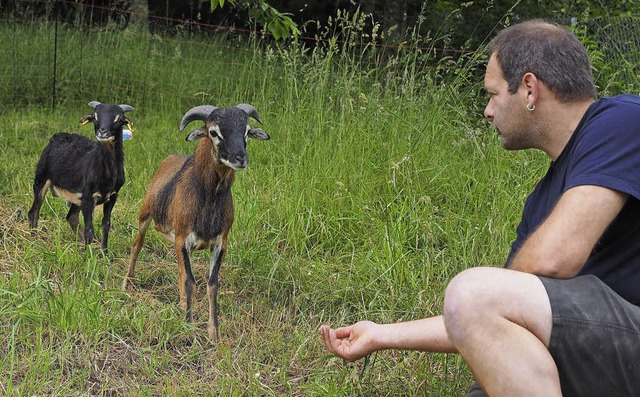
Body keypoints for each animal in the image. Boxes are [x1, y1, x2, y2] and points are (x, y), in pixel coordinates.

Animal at [27, 102, 135, 249]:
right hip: (41, 178)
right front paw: (89, 254)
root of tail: (58, 136)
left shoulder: (112, 196)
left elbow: (106, 225)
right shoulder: (88, 197)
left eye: (119, 119)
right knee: (34, 211)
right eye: (95, 117)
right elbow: (89, 230)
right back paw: (34, 241)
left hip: (77, 198)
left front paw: (104, 252)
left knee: (71, 217)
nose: (102, 132)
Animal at [123, 103, 270, 338]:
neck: (208, 199)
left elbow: (211, 284)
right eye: (213, 132)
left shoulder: (219, 243)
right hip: (144, 216)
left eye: (247, 131)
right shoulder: (183, 239)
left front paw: (213, 332)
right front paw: (189, 328)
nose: (240, 158)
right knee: (137, 245)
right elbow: (190, 282)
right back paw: (127, 285)